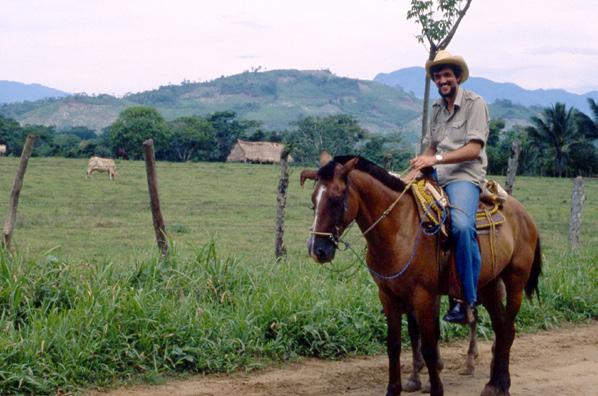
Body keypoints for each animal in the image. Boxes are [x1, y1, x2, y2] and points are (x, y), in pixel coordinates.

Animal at [302, 155, 540, 396]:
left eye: (335, 200)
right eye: (313, 200)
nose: (316, 250)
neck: (399, 229)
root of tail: (524, 214)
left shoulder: (423, 296)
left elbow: (428, 346)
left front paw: (434, 388)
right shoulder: (388, 296)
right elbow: (395, 345)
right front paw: (395, 388)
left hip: (514, 281)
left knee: (507, 330)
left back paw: (502, 384)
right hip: (488, 285)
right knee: (500, 328)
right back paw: (493, 383)